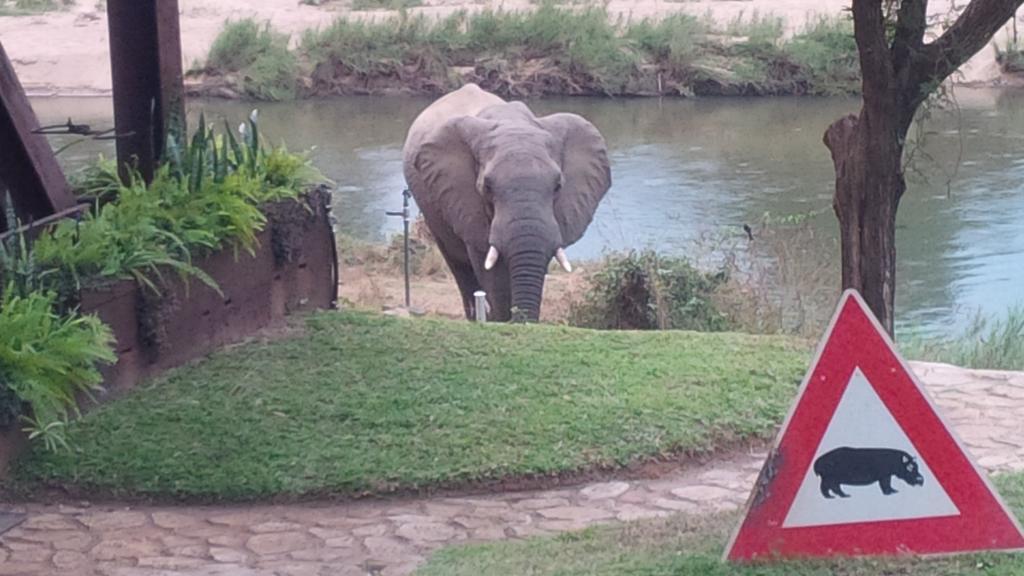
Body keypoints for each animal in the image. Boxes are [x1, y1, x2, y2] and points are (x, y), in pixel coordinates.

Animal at [399, 83, 606, 319]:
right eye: (487, 188)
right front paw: (499, 319)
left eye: (558, 187)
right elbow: (492, 271)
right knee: (459, 265)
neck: (511, 123)